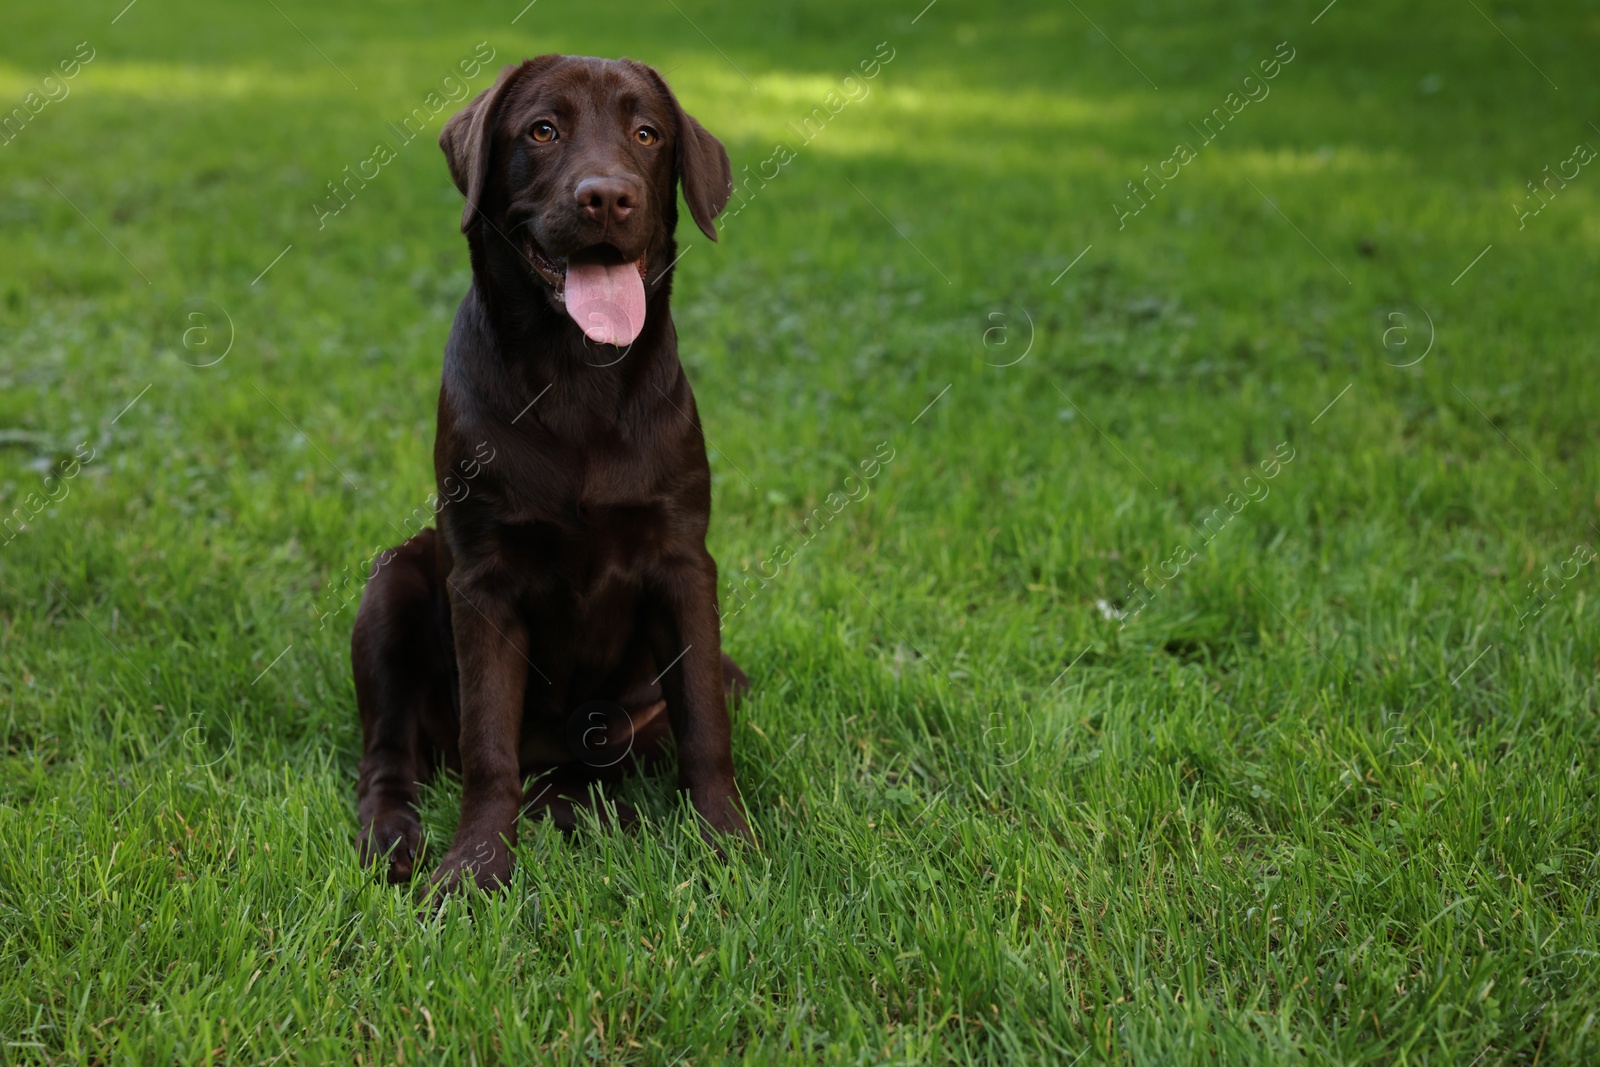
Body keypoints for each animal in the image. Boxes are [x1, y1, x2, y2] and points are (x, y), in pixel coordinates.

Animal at [350, 56, 748, 895]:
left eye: (646, 134)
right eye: (542, 130)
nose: (607, 195)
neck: (575, 377)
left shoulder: (684, 562)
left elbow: (704, 723)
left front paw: (728, 842)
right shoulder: (483, 577)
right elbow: (487, 743)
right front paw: (473, 865)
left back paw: (588, 810)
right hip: (392, 583)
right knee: (391, 753)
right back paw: (395, 834)